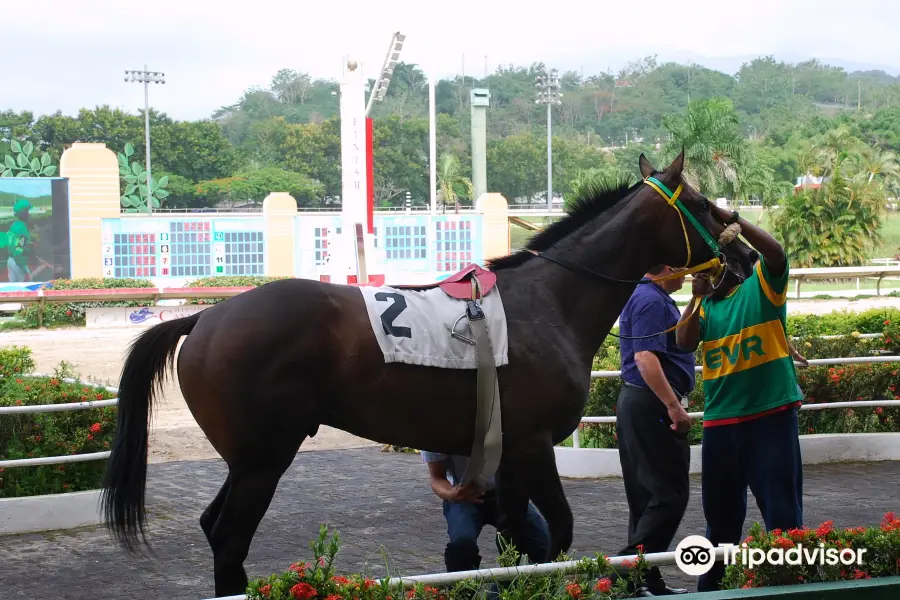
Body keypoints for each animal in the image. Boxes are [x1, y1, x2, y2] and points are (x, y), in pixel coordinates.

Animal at [100, 151, 760, 596]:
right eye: (703, 205)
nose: (747, 255)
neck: (550, 301)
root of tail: (205, 317)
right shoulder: (532, 444)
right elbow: (557, 534)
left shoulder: (507, 454)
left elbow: (517, 535)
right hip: (264, 458)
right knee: (229, 535)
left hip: (248, 459)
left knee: (217, 529)